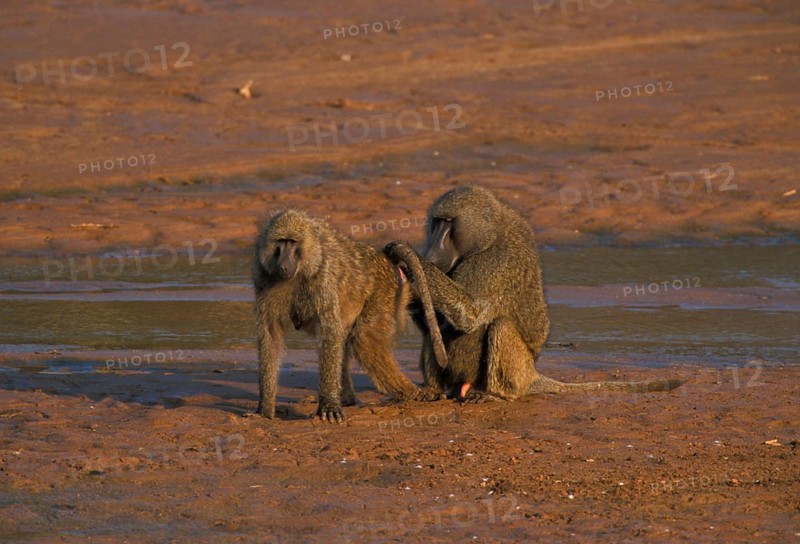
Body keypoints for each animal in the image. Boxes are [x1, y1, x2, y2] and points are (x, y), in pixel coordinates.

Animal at [253, 209, 419, 422]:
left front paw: (329, 405)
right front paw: (264, 408)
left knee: (362, 339)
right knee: (346, 339)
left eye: (293, 243)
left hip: (384, 290)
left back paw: (407, 394)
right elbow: (271, 335)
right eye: (281, 242)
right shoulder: (263, 276)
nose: (283, 266)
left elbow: (330, 332)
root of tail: (385, 258)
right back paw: (347, 399)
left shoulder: (323, 278)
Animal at [385, 185, 683, 402]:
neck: (490, 234)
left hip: (517, 370)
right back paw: (433, 391)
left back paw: (495, 394)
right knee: (434, 333)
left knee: (501, 327)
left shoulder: (494, 262)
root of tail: (532, 374)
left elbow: (469, 316)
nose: (434, 255)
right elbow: (440, 322)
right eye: (435, 223)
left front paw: (412, 260)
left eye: (448, 223)